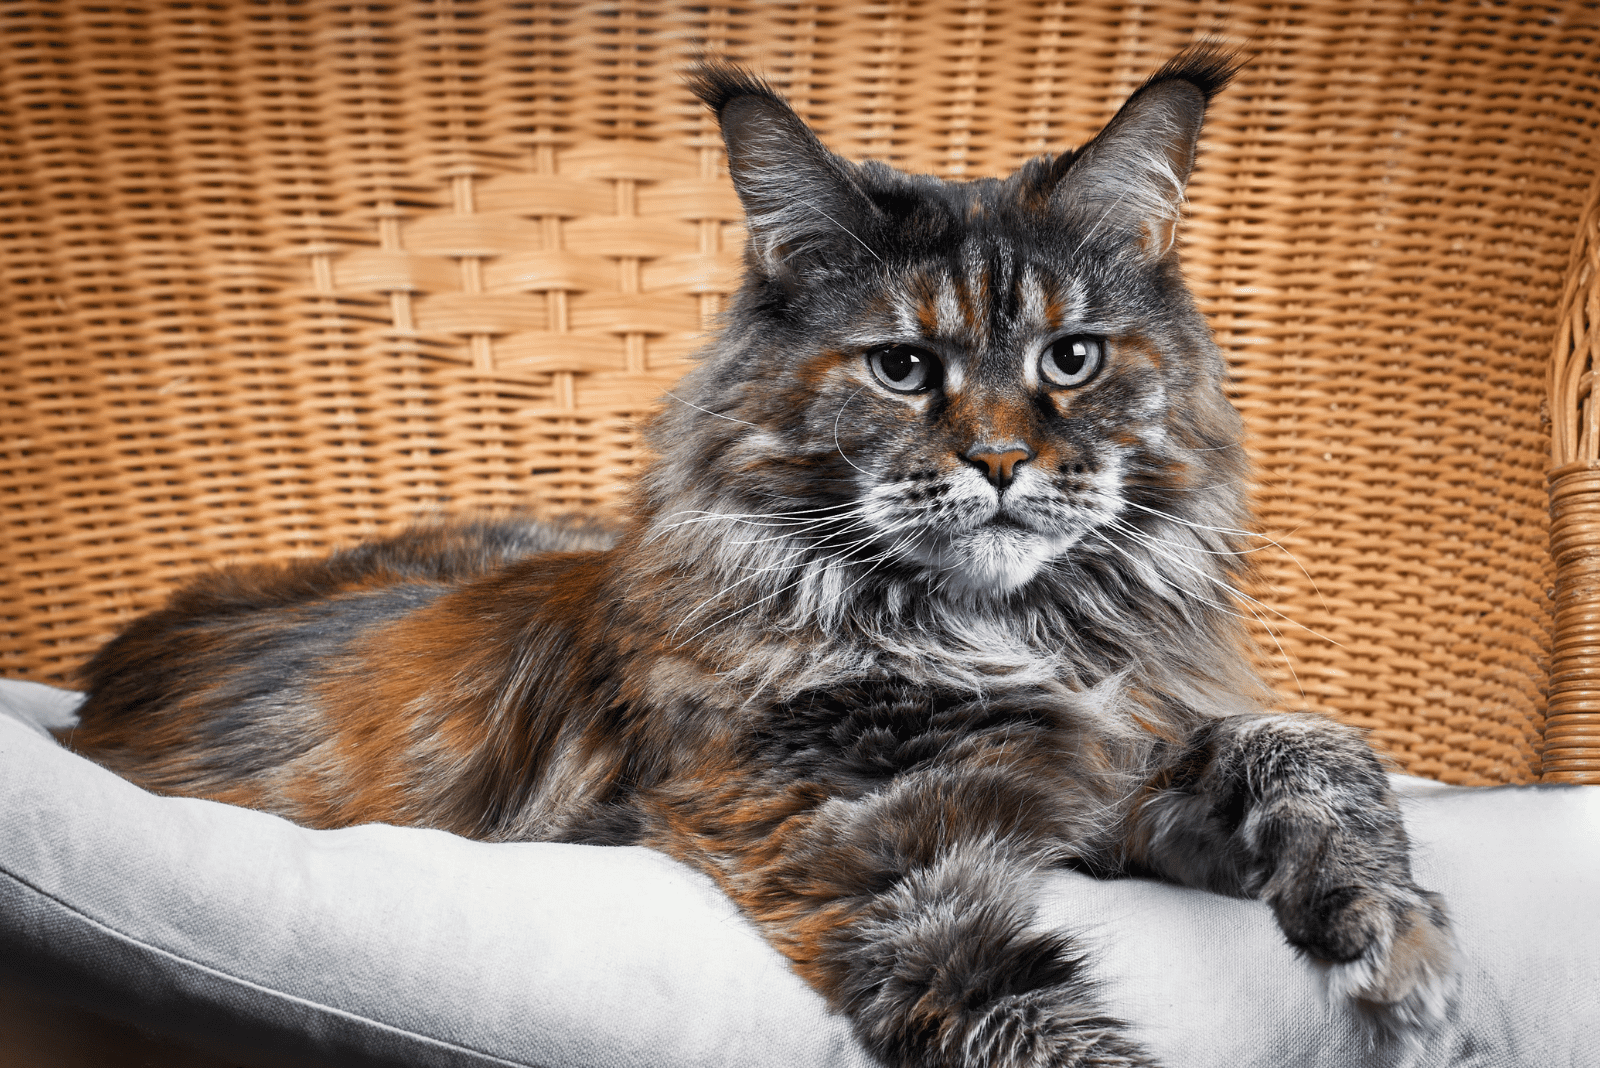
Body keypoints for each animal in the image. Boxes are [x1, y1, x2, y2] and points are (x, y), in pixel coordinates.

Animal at [68, 49, 1459, 1068]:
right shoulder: (864, 853)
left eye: (1072, 359)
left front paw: (1393, 942)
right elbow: (1038, 1026)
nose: (1001, 461)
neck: (1002, 631)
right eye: (901, 368)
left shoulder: (1114, 778)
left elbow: (1312, 745)